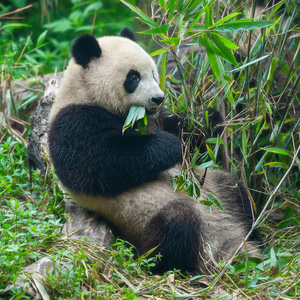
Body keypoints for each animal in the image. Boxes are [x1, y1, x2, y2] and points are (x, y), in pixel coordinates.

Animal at [47, 27, 260, 274]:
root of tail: (222, 248)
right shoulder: (73, 122)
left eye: (153, 73)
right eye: (133, 77)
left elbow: (188, 132)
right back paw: (172, 265)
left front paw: (211, 119)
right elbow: (100, 166)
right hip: (148, 222)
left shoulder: (154, 119)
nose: (158, 98)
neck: (86, 93)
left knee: (237, 192)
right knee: (175, 227)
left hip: (218, 189)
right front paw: (169, 145)